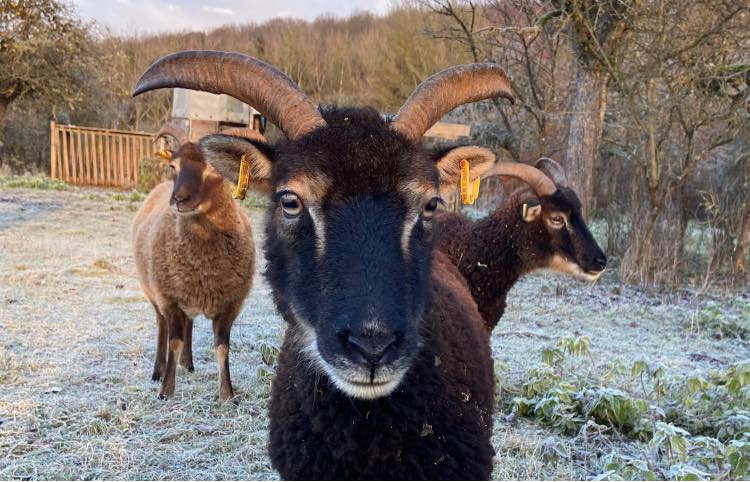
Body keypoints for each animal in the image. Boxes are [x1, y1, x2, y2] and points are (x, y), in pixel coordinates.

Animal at [131, 131, 255, 403]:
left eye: (214, 167)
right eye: (173, 166)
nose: (178, 199)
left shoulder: (231, 305)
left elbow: (222, 347)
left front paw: (227, 395)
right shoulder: (169, 299)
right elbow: (174, 342)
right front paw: (166, 390)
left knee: (188, 324)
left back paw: (187, 364)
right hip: (153, 291)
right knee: (161, 326)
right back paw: (158, 370)